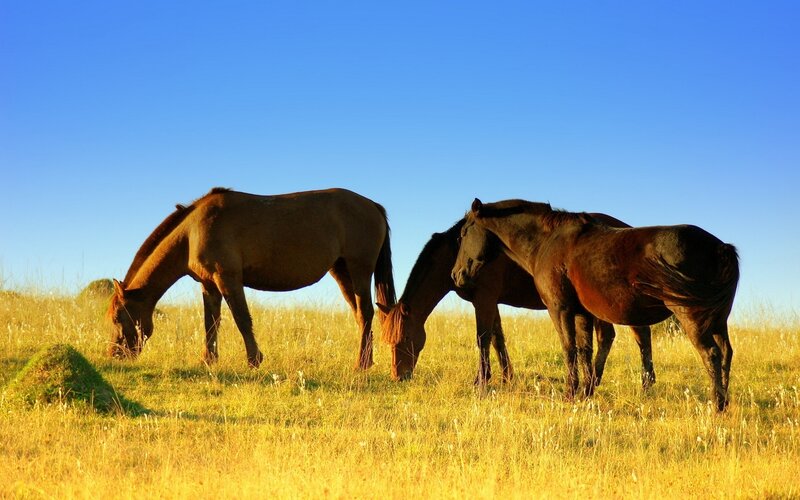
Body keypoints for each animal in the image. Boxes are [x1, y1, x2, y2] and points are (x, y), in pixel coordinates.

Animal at [107, 187, 396, 370]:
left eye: (117, 318)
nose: (114, 354)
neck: (192, 232)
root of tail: (373, 206)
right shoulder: (209, 286)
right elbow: (211, 323)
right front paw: (208, 360)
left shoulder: (228, 279)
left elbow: (242, 319)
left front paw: (254, 360)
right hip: (342, 271)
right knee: (360, 315)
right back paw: (366, 361)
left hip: (359, 270)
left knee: (366, 312)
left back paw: (361, 364)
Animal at [380, 216, 655, 390]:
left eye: (405, 338)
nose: (398, 377)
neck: (458, 253)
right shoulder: (490, 302)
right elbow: (497, 339)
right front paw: (506, 377)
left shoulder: (484, 299)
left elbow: (483, 338)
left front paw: (481, 381)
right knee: (611, 337)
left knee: (637, 335)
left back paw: (641, 383)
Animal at [451, 199, 739, 411]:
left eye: (464, 233)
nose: (456, 275)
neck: (548, 242)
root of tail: (720, 247)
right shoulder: (582, 314)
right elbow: (585, 351)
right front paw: (585, 391)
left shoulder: (560, 310)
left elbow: (569, 349)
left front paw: (570, 393)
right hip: (717, 320)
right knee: (725, 352)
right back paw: (725, 401)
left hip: (691, 317)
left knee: (711, 354)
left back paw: (716, 404)